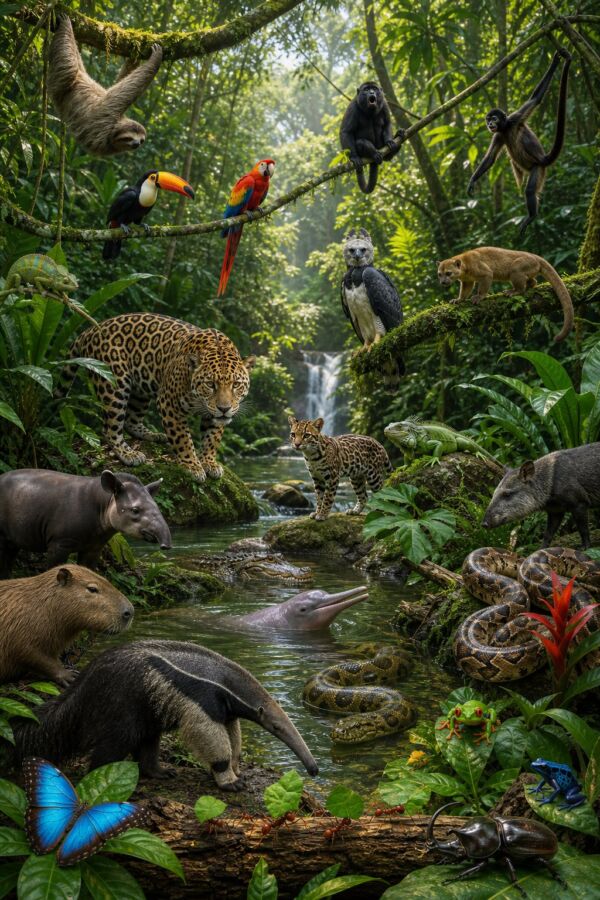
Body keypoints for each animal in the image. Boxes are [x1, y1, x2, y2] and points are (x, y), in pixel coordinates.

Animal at [48, 16, 163, 156]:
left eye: (141, 141)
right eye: (129, 138)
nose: (136, 144)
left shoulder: (104, 120)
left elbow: (121, 92)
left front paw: (155, 58)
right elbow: (121, 85)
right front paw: (135, 54)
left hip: (61, 81)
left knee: (69, 65)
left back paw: (66, 25)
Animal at [467, 49, 571, 235]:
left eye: (494, 118)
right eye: (488, 119)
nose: (490, 124)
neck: (505, 128)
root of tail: (543, 159)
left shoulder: (514, 119)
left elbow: (536, 99)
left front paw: (554, 62)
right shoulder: (498, 135)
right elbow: (490, 159)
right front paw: (472, 180)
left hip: (538, 168)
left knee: (530, 190)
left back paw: (532, 216)